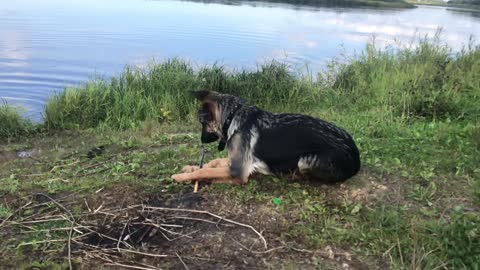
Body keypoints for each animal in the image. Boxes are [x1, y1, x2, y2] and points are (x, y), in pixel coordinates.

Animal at [172, 90, 360, 186]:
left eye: (201, 122)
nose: (202, 140)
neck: (233, 117)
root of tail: (356, 156)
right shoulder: (238, 161)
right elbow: (213, 162)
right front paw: (190, 168)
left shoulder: (238, 171)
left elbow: (205, 170)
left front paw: (180, 177)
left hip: (306, 160)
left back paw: (293, 175)